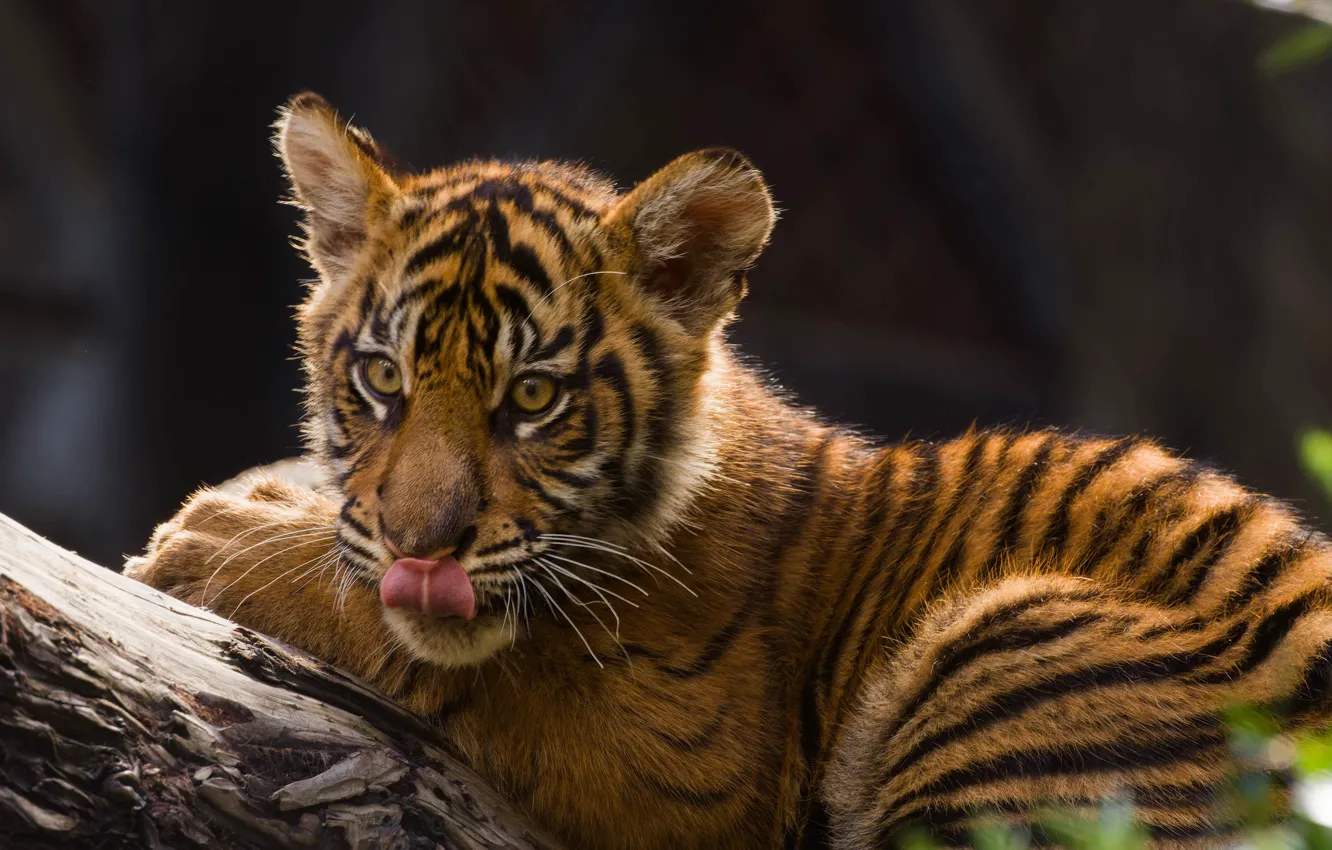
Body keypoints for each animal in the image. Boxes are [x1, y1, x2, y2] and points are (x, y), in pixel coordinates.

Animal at [125, 91, 1332, 850]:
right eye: (381, 377)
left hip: (1007, 636)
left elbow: (484, 656)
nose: (424, 544)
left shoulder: (684, 751)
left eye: (534, 398)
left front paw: (214, 538)